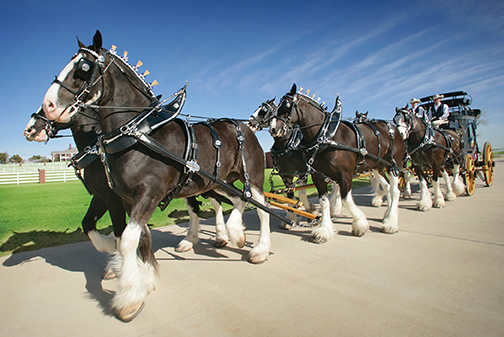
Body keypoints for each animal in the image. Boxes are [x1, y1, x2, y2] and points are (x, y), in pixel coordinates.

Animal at [37, 30, 272, 318]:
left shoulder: (146, 194)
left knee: (261, 208)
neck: (139, 133)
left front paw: (129, 296)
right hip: (218, 181)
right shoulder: (126, 198)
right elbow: (138, 237)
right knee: (238, 200)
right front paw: (144, 278)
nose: (47, 106)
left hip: (253, 179)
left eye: (83, 67)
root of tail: (245, 126)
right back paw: (235, 234)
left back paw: (259, 249)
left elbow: (127, 240)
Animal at [268, 83, 406, 242]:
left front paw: (360, 223)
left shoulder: (345, 175)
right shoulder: (317, 176)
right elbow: (324, 201)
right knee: (387, 187)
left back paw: (391, 222)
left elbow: (346, 198)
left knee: (395, 190)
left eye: (286, 106)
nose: (273, 129)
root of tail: (392, 127)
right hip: (377, 166)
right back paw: (387, 215)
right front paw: (324, 229)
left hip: (393, 164)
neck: (326, 135)